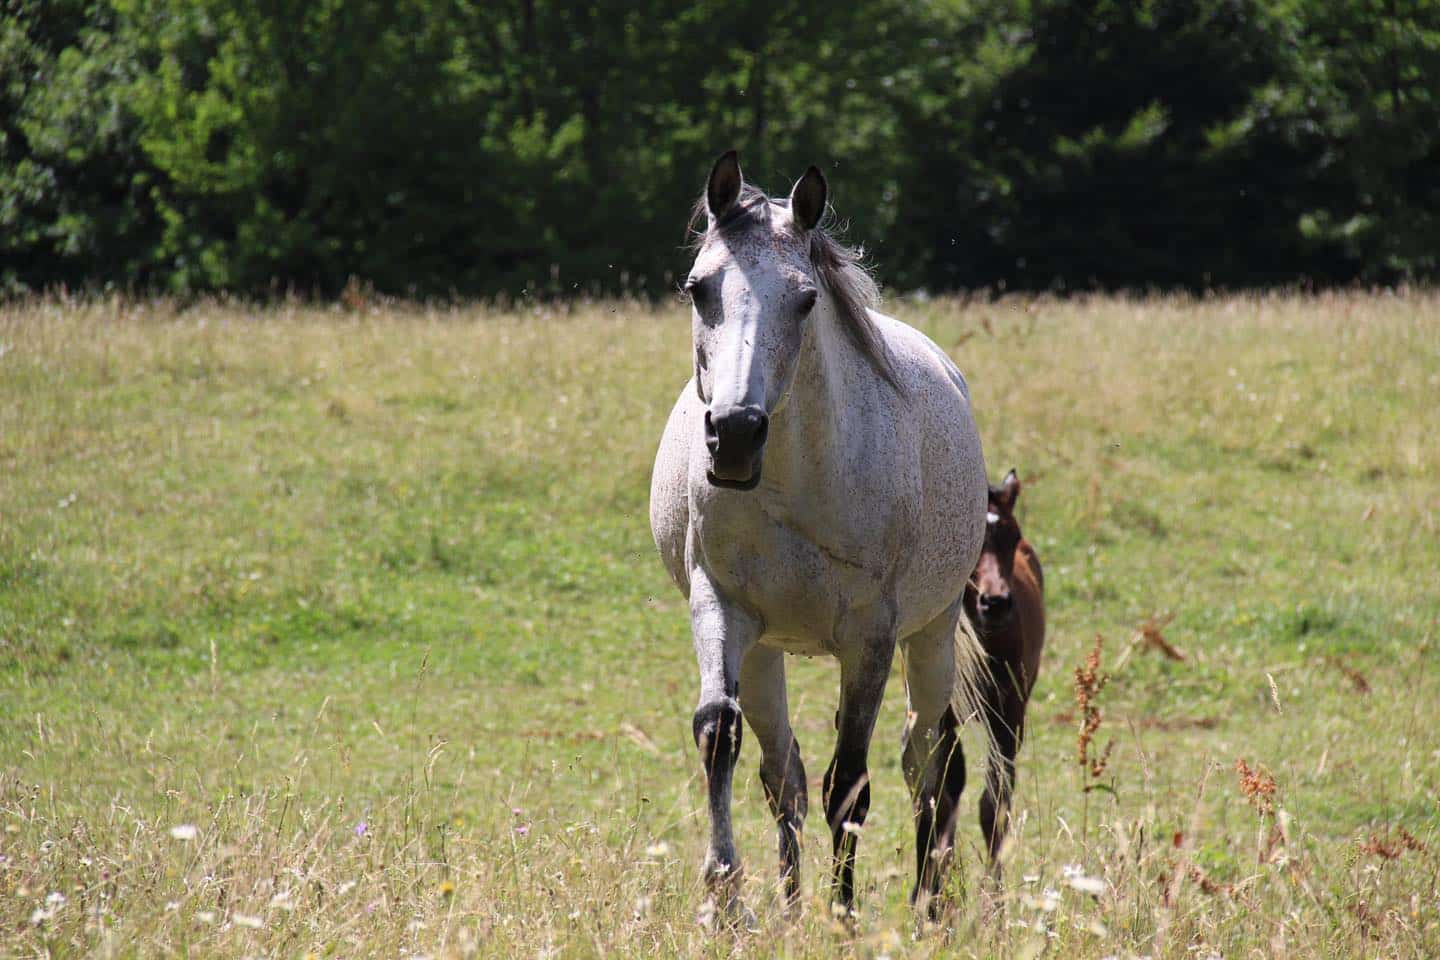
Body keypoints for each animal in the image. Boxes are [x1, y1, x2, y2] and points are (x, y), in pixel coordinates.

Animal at [649, 151, 993, 919]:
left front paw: (843, 916)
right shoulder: (720, 606)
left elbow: (851, 785)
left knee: (927, 759)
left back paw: (927, 904)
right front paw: (725, 896)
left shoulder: (869, 634)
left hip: (930, 632)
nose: (735, 435)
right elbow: (720, 734)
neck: (793, 482)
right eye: (697, 288)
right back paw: (788, 906)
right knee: (785, 772)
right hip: (766, 649)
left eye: (806, 300)